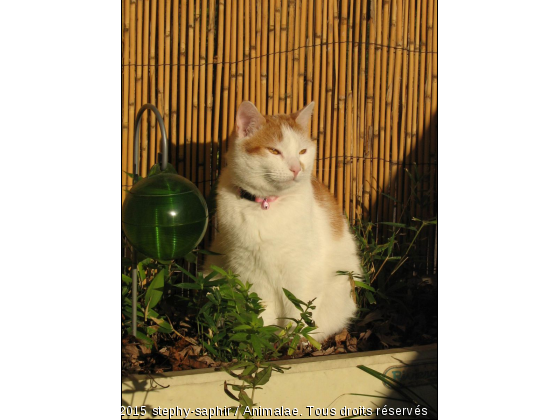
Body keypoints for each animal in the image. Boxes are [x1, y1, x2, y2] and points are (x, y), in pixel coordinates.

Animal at [203, 101, 360, 342]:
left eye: (302, 151)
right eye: (274, 151)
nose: (297, 168)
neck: (266, 206)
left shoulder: (300, 270)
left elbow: (298, 308)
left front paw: (292, 339)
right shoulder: (248, 270)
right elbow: (259, 308)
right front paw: (261, 336)